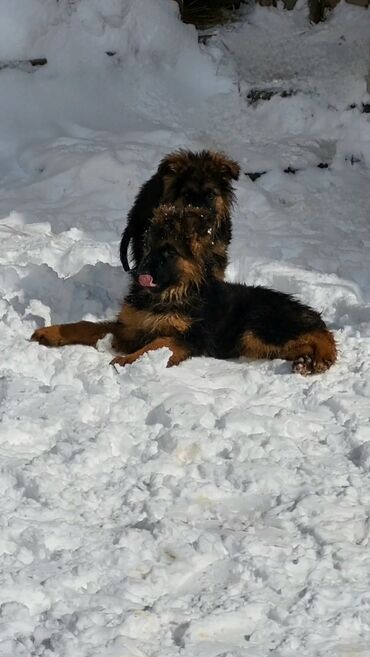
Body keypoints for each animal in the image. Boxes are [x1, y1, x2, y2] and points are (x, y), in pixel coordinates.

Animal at [31, 205, 336, 374]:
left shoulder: (188, 337)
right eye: (147, 249)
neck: (168, 293)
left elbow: (156, 345)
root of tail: (303, 309)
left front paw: (126, 361)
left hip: (255, 327)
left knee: (321, 334)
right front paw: (52, 332)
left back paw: (320, 358)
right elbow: (85, 325)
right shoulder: (129, 328)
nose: (139, 273)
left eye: (168, 253)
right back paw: (305, 361)